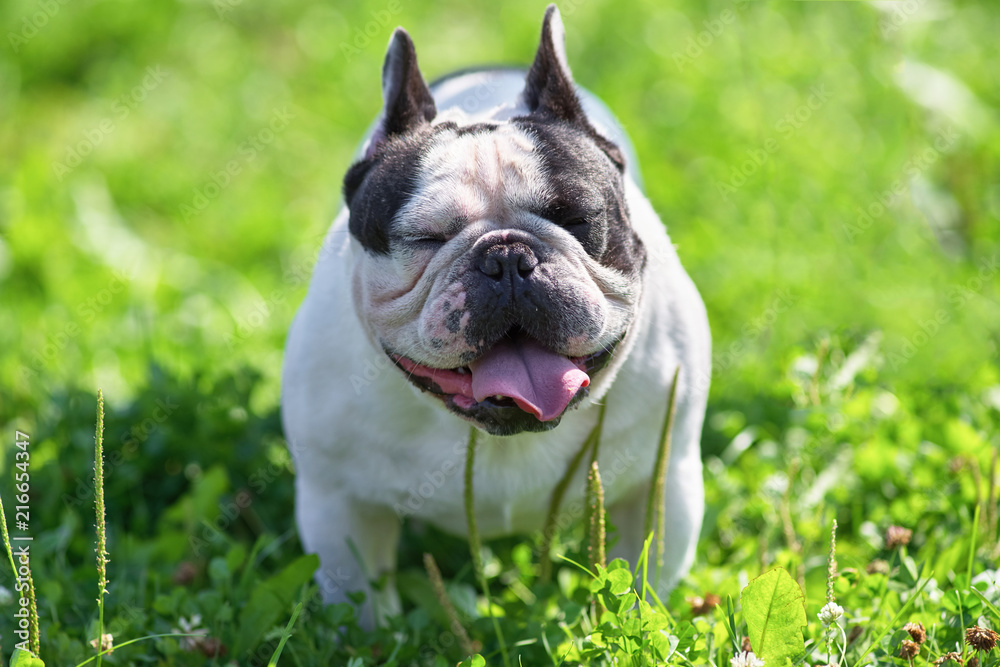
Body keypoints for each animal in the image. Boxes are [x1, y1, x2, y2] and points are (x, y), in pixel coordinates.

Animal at [280, 5, 712, 628]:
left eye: (578, 219)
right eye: (425, 238)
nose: (507, 257)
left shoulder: (661, 486)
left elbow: (642, 583)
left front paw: (632, 625)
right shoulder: (339, 506)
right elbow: (362, 606)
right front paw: (381, 639)